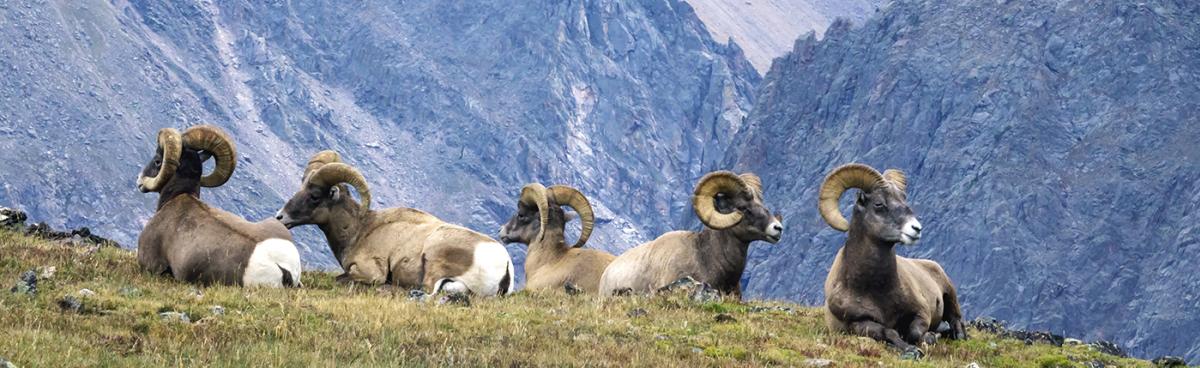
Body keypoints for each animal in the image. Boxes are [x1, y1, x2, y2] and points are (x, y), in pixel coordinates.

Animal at [276, 150, 516, 297]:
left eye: (315, 195)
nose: (280, 217)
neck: (359, 231)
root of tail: (504, 266)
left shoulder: (369, 272)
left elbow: (341, 279)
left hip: (435, 258)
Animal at [816, 164, 964, 354]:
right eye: (879, 204)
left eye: (904, 199)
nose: (916, 228)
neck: (875, 289)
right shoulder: (858, 323)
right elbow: (888, 332)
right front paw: (909, 348)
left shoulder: (921, 311)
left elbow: (914, 333)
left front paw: (930, 337)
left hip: (950, 294)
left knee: (956, 320)